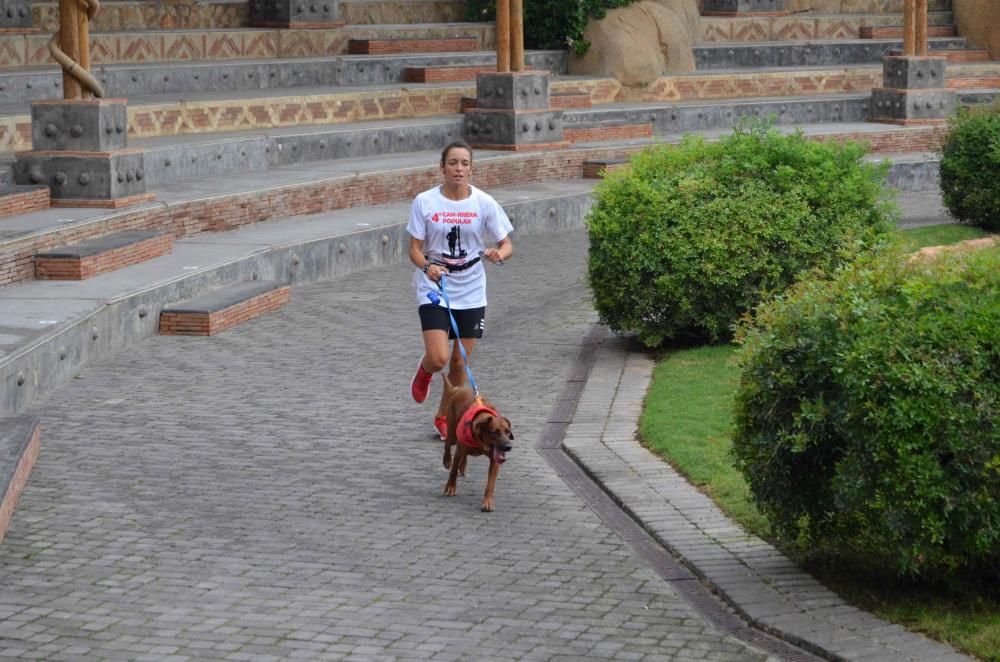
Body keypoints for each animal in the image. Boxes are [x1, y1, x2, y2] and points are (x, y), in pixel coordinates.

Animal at [442, 378, 512, 512]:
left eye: (507, 431)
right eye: (495, 432)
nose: (508, 447)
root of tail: (457, 389)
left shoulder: (495, 462)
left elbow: (490, 484)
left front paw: (488, 502)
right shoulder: (459, 450)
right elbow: (453, 471)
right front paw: (450, 487)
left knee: (463, 455)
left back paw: (463, 465)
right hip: (453, 433)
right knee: (448, 443)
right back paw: (447, 460)